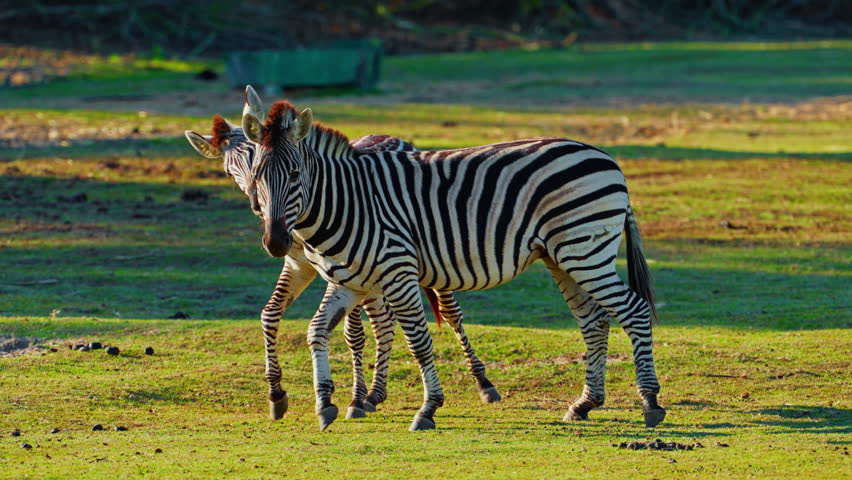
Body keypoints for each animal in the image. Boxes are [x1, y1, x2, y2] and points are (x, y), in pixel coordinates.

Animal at [184, 109, 499, 423]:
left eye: (256, 160)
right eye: (229, 172)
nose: (260, 212)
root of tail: (387, 135)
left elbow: (353, 334)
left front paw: (353, 399)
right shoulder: (298, 264)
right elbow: (270, 314)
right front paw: (277, 393)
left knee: (449, 313)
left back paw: (483, 383)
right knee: (384, 322)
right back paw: (375, 393)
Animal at [240, 92, 666, 432]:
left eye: (295, 174)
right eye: (256, 175)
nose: (276, 242)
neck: (347, 201)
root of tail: (605, 156)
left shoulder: (398, 272)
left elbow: (418, 341)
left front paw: (427, 409)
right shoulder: (350, 282)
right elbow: (317, 331)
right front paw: (325, 402)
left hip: (584, 251)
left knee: (634, 311)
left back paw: (650, 403)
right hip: (563, 257)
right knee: (594, 322)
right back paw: (585, 404)